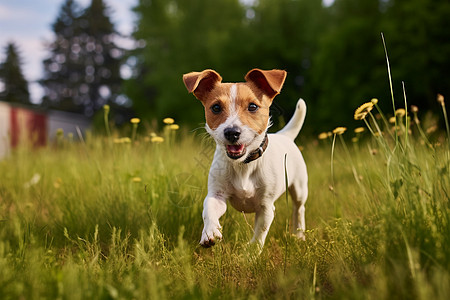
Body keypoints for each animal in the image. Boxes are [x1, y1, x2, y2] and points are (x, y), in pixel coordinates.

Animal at [181, 68, 308, 248]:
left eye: (253, 106)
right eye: (216, 107)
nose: (232, 132)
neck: (243, 164)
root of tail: (285, 135)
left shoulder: (265, 207)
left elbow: (260, 233)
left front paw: (251, 252)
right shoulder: (217, 194)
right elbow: (209, 210)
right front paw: (209, 232)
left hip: (300, 188)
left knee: (299, 209)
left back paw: (299, 234)